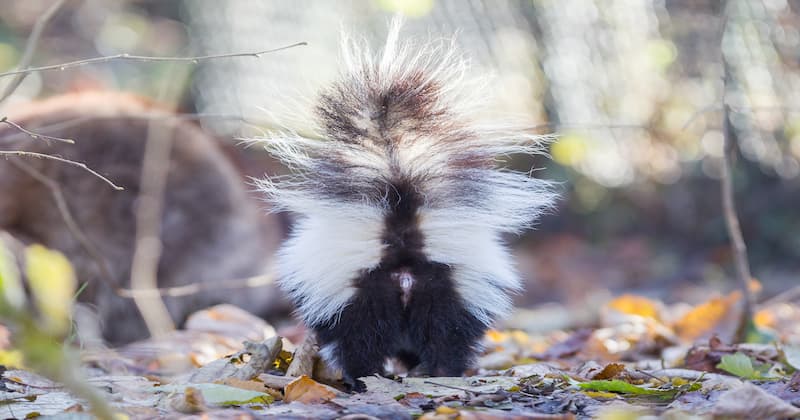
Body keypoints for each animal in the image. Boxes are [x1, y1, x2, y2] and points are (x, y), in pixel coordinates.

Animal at [260, 20, 560, 390]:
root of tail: (402, 245)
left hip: (362, 295)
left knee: (360, 342)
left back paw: (362, 378)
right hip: (448, 291)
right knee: (446, 337)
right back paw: (442, 372)